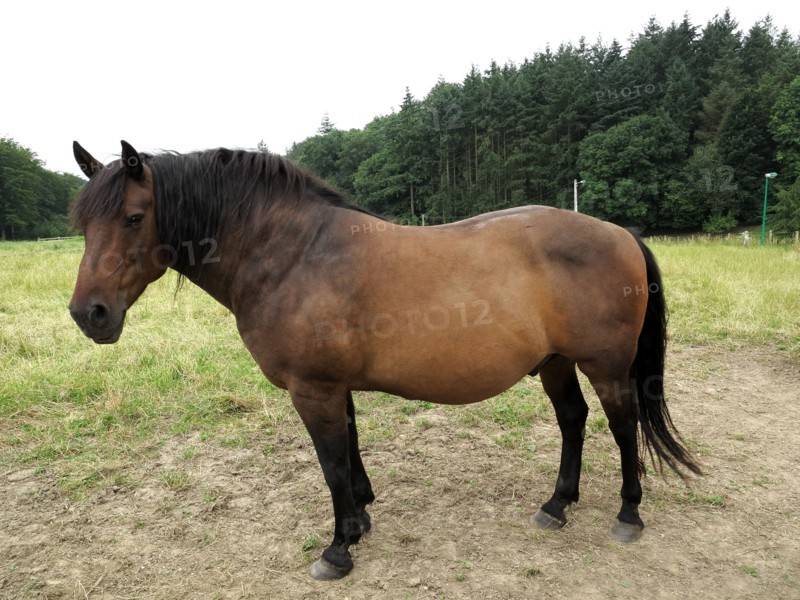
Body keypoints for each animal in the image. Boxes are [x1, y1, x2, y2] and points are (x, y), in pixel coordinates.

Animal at [69, 140, 700, 581]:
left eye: (133, 217)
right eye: (83, 224)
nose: (88, 314)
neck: (291, 256)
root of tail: (620, 233)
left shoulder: (313, 388)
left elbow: (330, 463)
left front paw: (338, 548)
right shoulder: (332, 387)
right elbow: (348, 451)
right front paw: (362, 518)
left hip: (606, 367)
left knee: (623, 426)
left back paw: (628, 515)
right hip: (554, 361)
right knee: (573, 420)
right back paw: (556, 505)